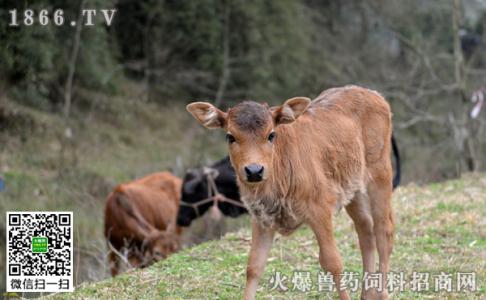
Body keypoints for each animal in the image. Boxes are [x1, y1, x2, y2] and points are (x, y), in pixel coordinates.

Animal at [188, 85, 396, 300]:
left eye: (271, 135)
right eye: (230, 136)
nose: (254, 170)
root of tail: (373, 94)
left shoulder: (320, 210)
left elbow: (333, 263)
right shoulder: (261, 219)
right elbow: (254, 266)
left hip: (380, 173)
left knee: (384, 231)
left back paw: (382, 293)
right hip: (353, 189)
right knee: (365, 229)